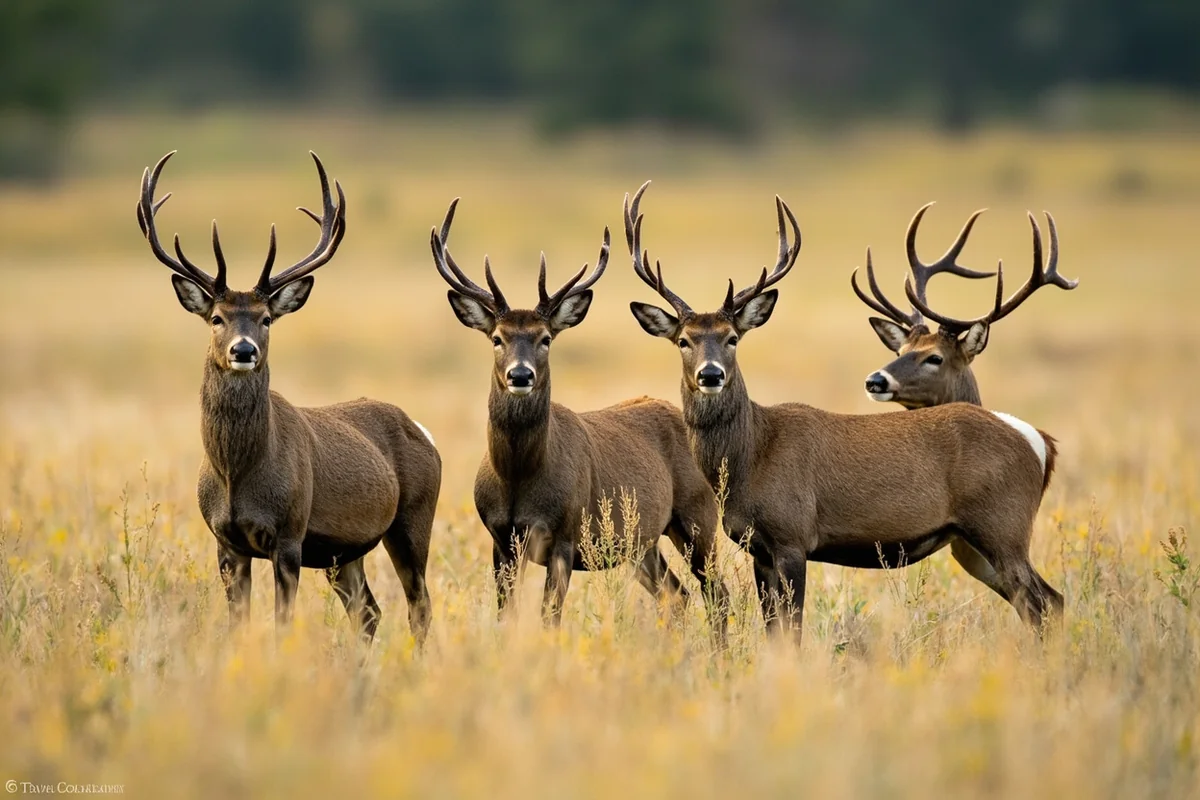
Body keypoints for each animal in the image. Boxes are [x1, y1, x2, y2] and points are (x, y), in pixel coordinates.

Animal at [135, 151, 440, 645]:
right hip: (345, 552)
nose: (244, 350)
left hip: (414, 519)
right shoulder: (225, 542)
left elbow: (281, 623)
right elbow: (239, 624)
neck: (236, 474)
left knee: (420, 605)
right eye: (216, 318)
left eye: (266, 318)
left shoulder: (290, 535)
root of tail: (423, 430)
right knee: (369, 612)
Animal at [429, 198, 729, 638]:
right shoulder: (501, 540)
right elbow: (506, 617)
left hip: (698, 515)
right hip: (641, 542)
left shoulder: (566, 536)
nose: (520, 375)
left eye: (546, 338)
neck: (518, 476)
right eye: (497, 337)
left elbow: (548, 618)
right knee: (677, 594)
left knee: (717, 594)